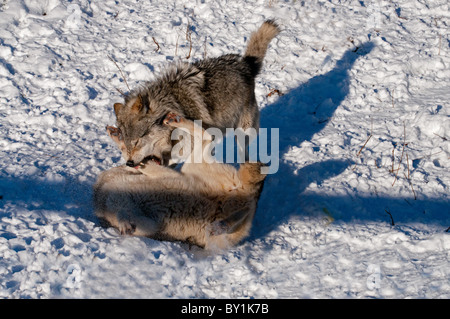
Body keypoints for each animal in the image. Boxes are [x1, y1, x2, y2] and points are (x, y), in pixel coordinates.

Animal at [92, 112, 266, 250]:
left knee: (205, 136)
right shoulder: (145, 222)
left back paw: (175, 120)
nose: (134, 163)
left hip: (194, 169)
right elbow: (126, 215)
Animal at [112, 20, 280, 168]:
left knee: (243, 152)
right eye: (126, 143)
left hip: (243, 131)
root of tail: (245, 64)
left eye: (136, 142)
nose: (129, 163)